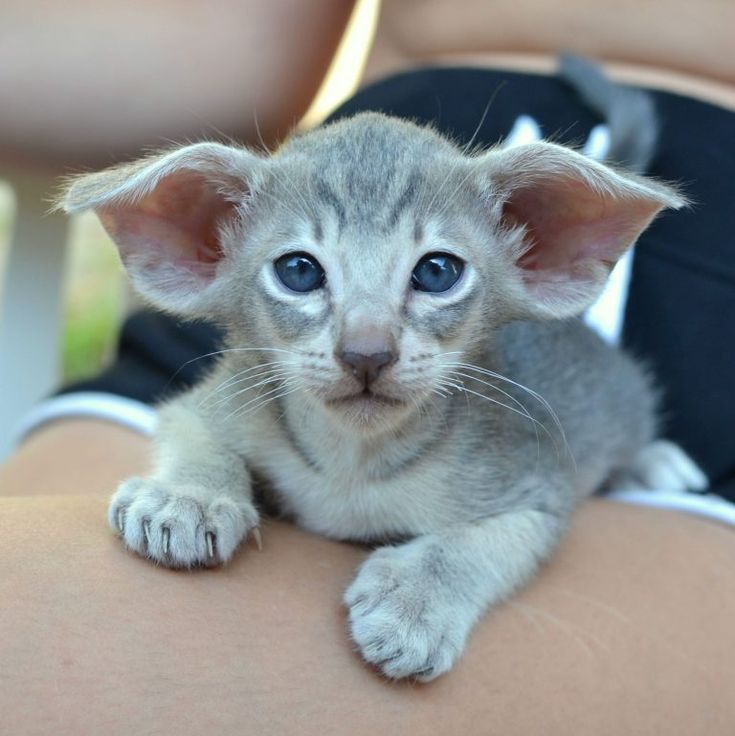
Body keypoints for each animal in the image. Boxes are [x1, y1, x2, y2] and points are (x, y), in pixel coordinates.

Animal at [60, 96, 704, 680]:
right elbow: (195, 433)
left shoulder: (536, 488)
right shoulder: (214, 399)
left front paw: (416, 603)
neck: (352, 464)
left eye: (437, 272)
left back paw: (654, 463)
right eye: (299, 271)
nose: (366, 352)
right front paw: (187, 497)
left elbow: (482, 543)